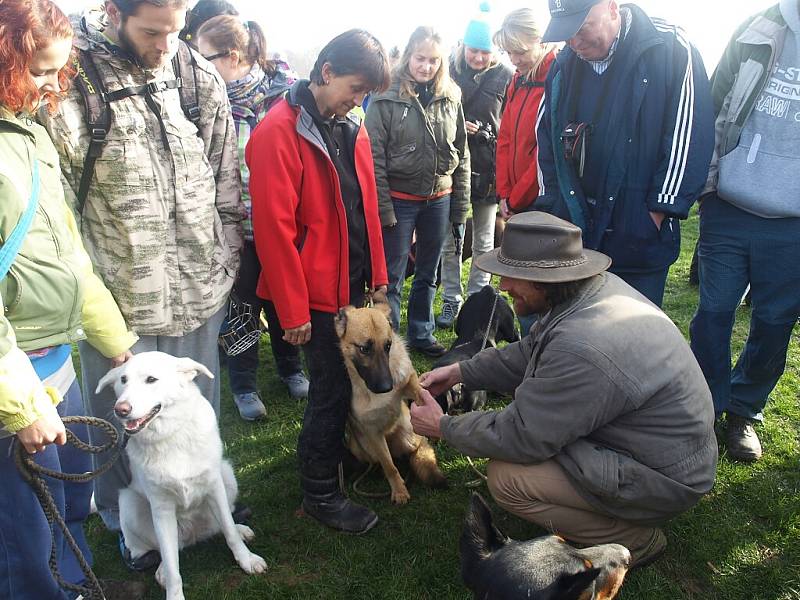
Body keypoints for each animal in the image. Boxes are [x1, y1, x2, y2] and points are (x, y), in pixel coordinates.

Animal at [98, 352, 268, 600]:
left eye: (151, 379)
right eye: (123, 380)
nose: (121, 409)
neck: (169, 436)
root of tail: (193, 535)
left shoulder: (214, 487)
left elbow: (228, 529)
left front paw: (247, 559)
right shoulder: (162, 508)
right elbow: (172, 566)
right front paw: (173, 592)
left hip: (227, 475)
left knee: (221, 523)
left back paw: (241, 529)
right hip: (129, 504)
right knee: (163, 549)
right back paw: (160, 569)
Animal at [336, 302, 450, 504]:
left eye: (387, 346)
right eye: (364, 349)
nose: (387, 387)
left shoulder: (410, 382)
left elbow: (419, 392)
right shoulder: (373, 434)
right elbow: (389, 466)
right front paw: (399, 490)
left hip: (408, 436)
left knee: (416, 451)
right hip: (361, 447)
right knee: (384, 461)